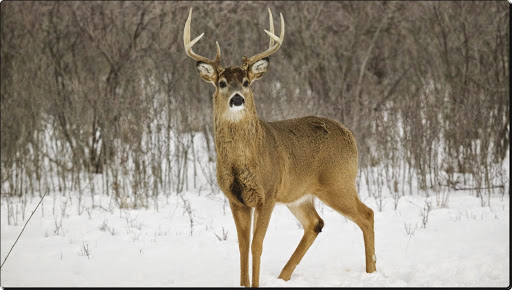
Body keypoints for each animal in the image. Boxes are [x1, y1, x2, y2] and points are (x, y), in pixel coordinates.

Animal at [184, 7, 376, 286]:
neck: (243, 161)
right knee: (315, 223)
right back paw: (284, 276)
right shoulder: (235, 199)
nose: (237, 99)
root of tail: (349, 134)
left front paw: (255, 284)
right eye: (222, 83)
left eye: (246, 82)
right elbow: (242, 246)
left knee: (367, 215)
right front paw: (244, 283)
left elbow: (257, 245)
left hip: (338, 182)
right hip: (299, 194)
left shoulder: (268, 193)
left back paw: (372, 272)